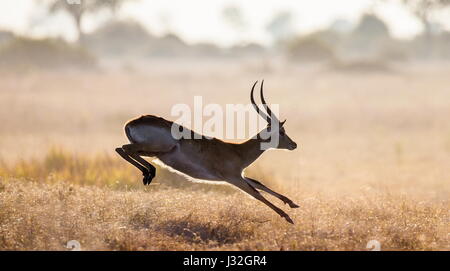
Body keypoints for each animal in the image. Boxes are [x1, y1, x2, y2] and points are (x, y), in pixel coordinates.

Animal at [116, 81, 298, 225]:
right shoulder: (233, 178)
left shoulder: (240, 175)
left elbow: (259, 183)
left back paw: (147, 174)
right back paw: (149, 173)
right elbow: (256, 194)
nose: (294, 144)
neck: (238, 151)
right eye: (281, 131)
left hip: (153, 152)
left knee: (121, 149)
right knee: (125, 148)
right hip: (158, 148)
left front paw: (291, 203)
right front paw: (287, 217)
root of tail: (131, 123)